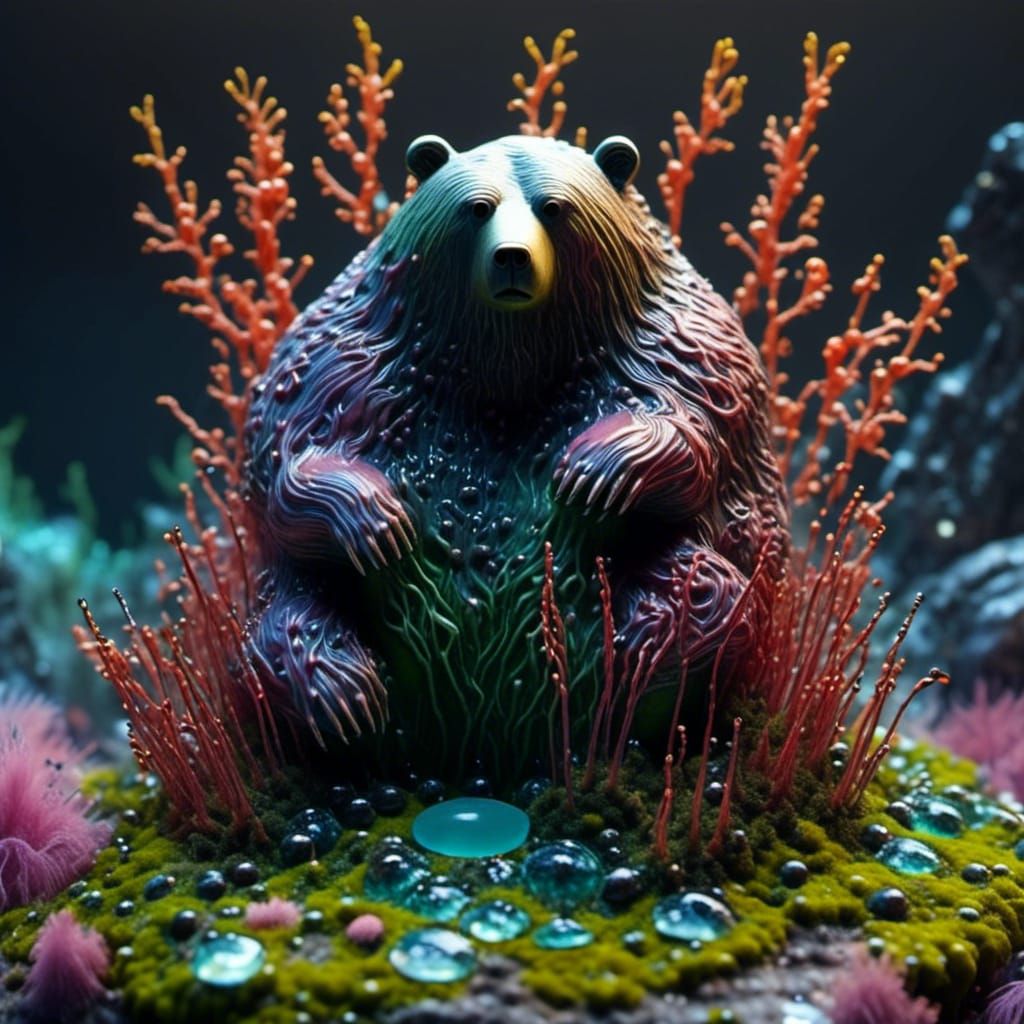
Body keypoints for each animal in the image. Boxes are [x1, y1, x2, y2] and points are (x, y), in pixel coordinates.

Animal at [242, 133, 789, 781]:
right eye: (477, 207)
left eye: (554, 207)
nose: (511, 257)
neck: (509, 362)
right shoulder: (356, 363)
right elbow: (291, 461)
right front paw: (374, 518)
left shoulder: (675, 347)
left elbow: (694, 436)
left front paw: (598, 466)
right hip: (301, 610)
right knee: (286, 635)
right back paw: (344, 700)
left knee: (705, 595)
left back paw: (633, 688)